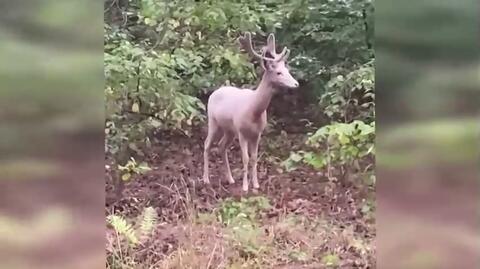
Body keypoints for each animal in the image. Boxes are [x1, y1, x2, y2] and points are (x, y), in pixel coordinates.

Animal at [201, 31, 298, 191]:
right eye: (278, 72)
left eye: (287, 70)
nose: (296, 84)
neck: (254, 111)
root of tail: (215, 92)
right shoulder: (242, 132)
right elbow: (245, 158)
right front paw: (245, 187)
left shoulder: (257, 134)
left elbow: (254, 158)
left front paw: (256, 184)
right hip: (213, 121)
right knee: (207, 144)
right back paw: (206, 179)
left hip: (229, 129)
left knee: (221, 145)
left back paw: (230, 179)